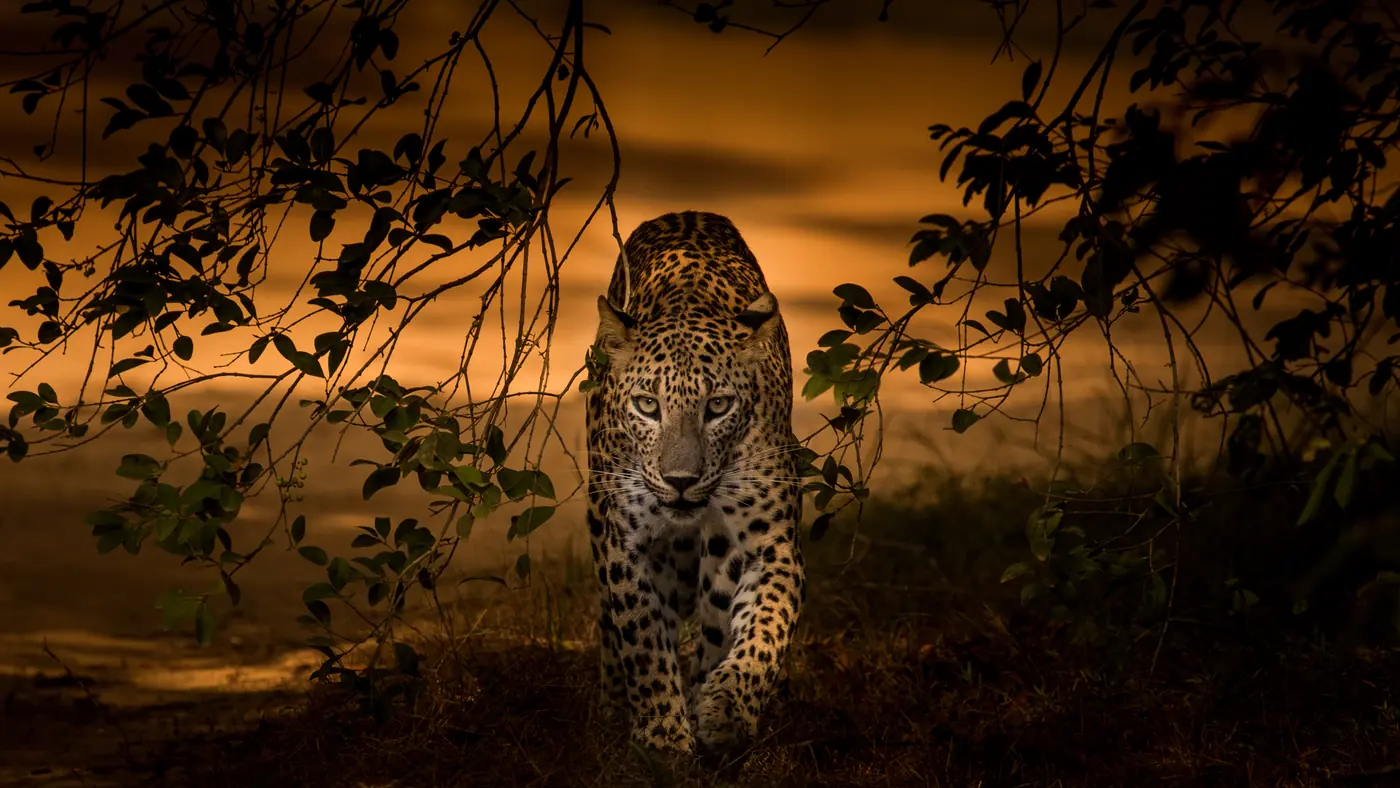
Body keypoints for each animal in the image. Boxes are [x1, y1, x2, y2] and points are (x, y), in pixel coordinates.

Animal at [584, 210, 806, 754]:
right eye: (647, 405)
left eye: (718, 406)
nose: (680, 480)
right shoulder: (625, 543)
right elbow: (641, 637)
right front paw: (662, 734)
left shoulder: (767, 545)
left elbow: (765, 629)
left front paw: (725, 710)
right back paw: (613, 703)